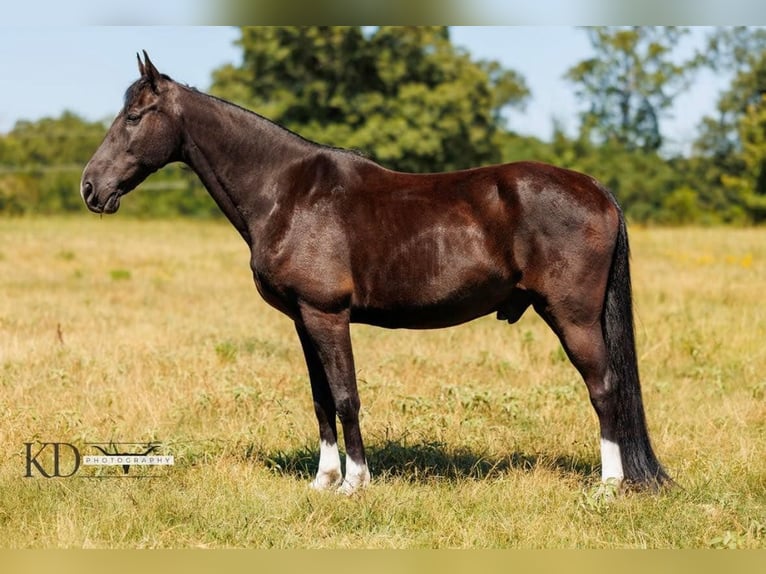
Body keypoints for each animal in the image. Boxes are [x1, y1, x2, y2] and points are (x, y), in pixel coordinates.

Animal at [81, 52, 670, 494]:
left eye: (134, 118)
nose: (90, 186)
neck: (287, 192)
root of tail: (595, 188)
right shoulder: (304, 320)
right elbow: (322, 400)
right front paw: (322, 481)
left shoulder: (328, 315)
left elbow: (346, 396)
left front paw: (355, 482)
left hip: (573, 317)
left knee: (604, 387)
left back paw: (609, 486)